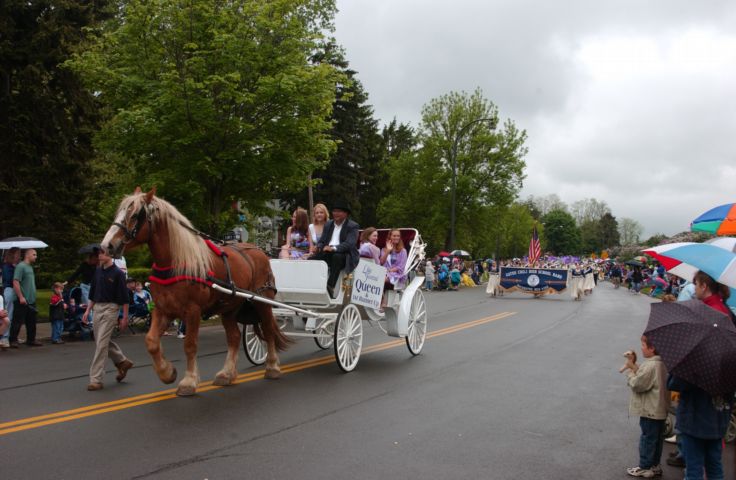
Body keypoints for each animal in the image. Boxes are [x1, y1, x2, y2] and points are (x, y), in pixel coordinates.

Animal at [101, 189, 290, 396]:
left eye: (135, 215)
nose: (107, 245)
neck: (174, 262)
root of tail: (259, 250)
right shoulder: (162, 309)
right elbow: (151, 341)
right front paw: (167, 373)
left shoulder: (192, 311)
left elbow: (190, 345)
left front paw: (189, 381)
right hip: (229, 308)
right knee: (234, 337)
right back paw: (226, 373)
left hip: (262, 302)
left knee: (268, 331)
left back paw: (272, 367)